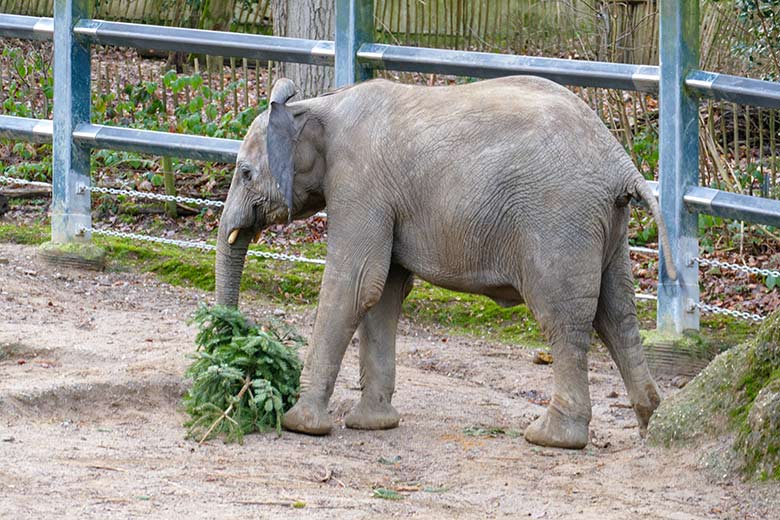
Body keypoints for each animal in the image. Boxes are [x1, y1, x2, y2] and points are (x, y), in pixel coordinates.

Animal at [215, 75, 676, 448]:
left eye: (245, 174)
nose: (236, 346)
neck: (319, 104)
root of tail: (619, 161)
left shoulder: (360, 184)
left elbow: (355, 284)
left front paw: (300, 424)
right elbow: (384, 292)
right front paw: (373, 425)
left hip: (560, 219)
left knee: (564, 319)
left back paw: (551, 438)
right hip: (608, 225)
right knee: (617, 315)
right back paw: (650, 423)